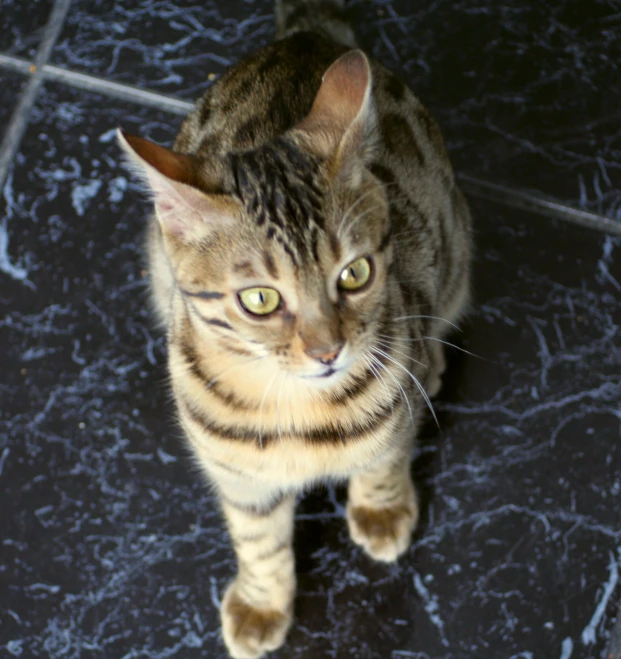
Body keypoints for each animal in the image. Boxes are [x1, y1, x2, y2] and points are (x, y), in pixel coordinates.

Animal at [118, 1, 472, 659]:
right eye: (260, 299)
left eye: (355, 273)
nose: (328, 350)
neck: (298, 414)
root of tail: (305, 34)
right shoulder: (238, 476)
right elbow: (258, 541)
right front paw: (262, 603)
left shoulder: (395, 402)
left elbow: (385, 461)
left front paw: (382, 511)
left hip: (454, 242)